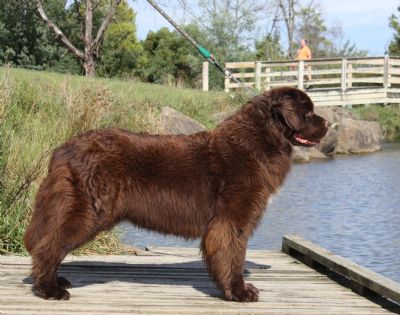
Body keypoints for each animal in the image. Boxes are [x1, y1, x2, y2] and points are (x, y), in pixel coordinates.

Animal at [24, 86, 328, 304]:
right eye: (309, 113)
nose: (327, 124)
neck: (259, 141)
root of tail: (63, 149)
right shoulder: (232, 221)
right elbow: (234, 257)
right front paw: (239, 292)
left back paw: (57, 282)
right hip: (88, 212)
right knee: (48, 246)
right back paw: (49, 289)